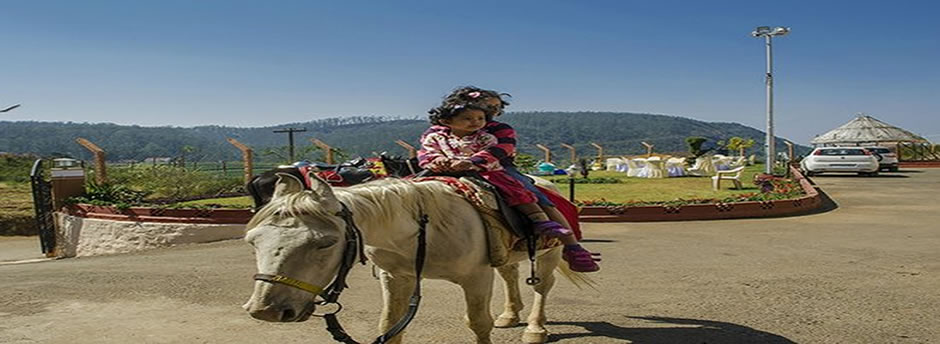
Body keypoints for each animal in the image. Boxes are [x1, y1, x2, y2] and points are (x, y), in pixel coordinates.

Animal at [241, 175, 588, 344]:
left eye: (325, 243)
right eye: (252, 242)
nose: (266, 311)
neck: (422, 227)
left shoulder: (476, 278)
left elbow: (478, 323)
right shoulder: (397, 277)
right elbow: (390, 326)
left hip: (549, 252)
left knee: (542, 287)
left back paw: (535, 329)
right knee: (510, 274)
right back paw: (510, 314)